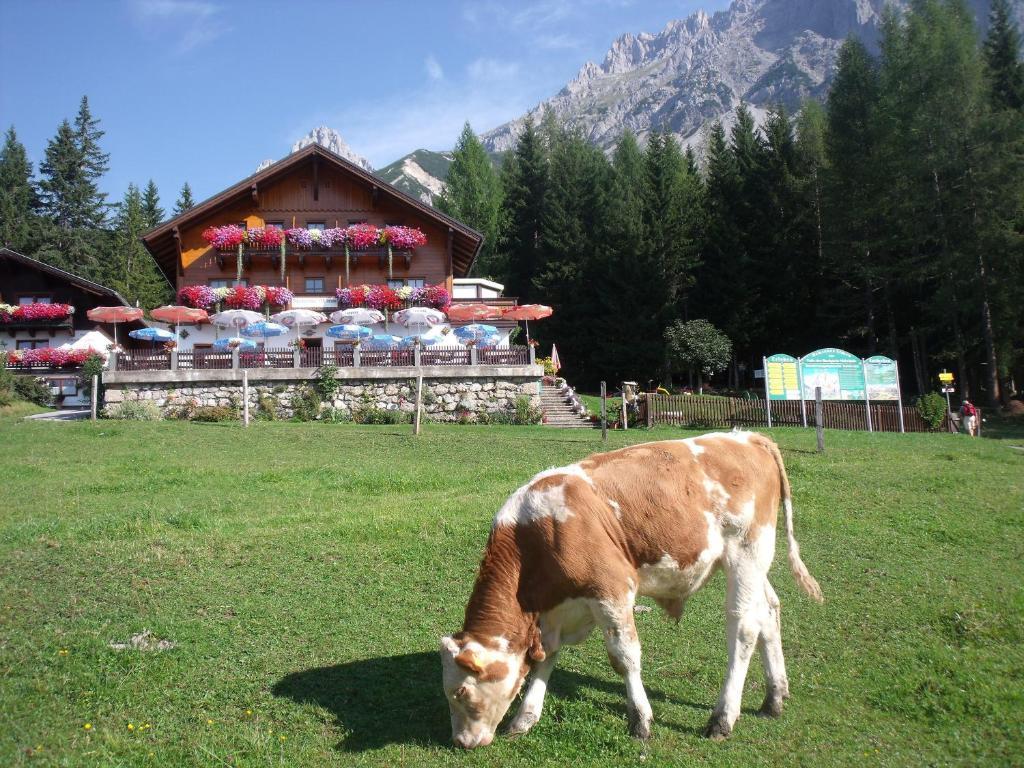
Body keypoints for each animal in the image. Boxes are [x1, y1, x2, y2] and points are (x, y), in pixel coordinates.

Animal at [440, 434, 823, 753]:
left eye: (461, 691)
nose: (461, 741)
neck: (536, 536)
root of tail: (747, 437)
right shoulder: (555, 611)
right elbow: (545, 657)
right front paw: (525, 717)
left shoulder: (611, 588)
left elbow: (624, 657)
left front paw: (640, 720)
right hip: (756, 564)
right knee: (768, 611)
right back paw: (774, 698)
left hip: (747, 551)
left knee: (743, 627)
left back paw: (722, 718)